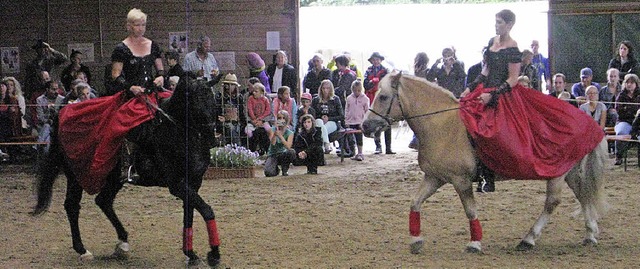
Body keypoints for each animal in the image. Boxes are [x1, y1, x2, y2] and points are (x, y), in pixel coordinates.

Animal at [32, 76, 222, 266]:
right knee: (72, 206)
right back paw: (82, 249)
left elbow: (189, 214)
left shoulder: (193, 183)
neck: (175, 131)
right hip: (76, 176)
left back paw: (122, 243)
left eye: (212, 99)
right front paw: (213, 255)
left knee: (103, 201)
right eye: (195, 100)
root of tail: (62, 113)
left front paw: (191, 254)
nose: (211, 137)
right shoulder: (176, 184)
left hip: (113, 178)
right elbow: (206, 210)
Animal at [362, 70, 608, 253]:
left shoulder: (461, 181)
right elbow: (415, 203)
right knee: (583, 194)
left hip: (557, 172)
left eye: (383, 97)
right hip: (570, 169)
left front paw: (474, 243)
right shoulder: (435, 177)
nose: (365, 126)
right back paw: (590, 234)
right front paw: (415, 241)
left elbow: (470, 211)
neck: (441, 125)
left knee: (552, 203)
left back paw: (528, 239)